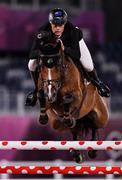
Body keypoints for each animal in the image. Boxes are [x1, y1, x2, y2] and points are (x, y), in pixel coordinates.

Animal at [35, 31, 109, 162]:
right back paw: (76, 153)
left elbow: (67, 99)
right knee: (75, 131)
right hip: (57, 124)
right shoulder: (47, 95)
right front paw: (43, 118)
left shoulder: (78, 96)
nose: (51, 92)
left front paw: (68, 116)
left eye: (58, 64)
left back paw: (93, 150)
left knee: (95, 126)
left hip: (100, 115)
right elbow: (41, 96)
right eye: (41, 65)